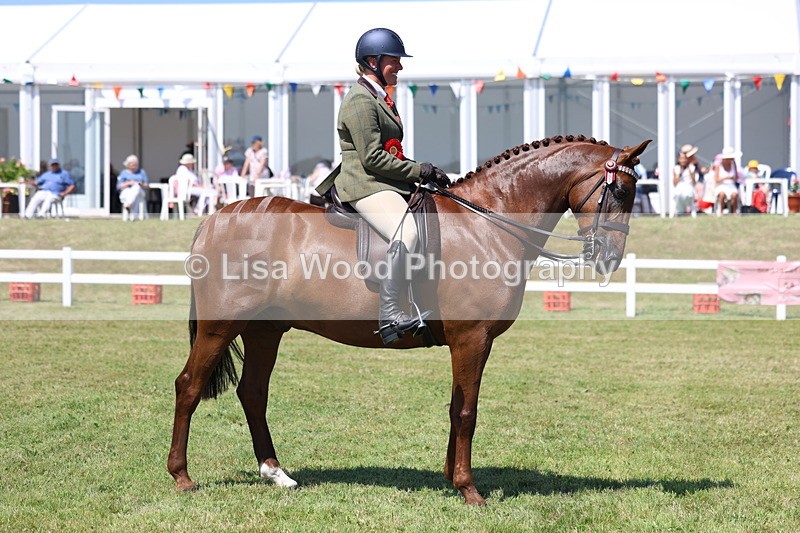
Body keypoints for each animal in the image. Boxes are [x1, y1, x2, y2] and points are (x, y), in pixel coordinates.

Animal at [168, 135, 651, 505]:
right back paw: (182, 476)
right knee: (189, 386)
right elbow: (469, 411)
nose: (609, 259)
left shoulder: (468, 341)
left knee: (253, 392)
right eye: (621, 192)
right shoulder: (473, 338)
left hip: (265, 329)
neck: (487, 223)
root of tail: (215, 218)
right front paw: (469, 490)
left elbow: (457, 407)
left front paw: (451, 478)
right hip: (220, 326)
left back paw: (275, 472)